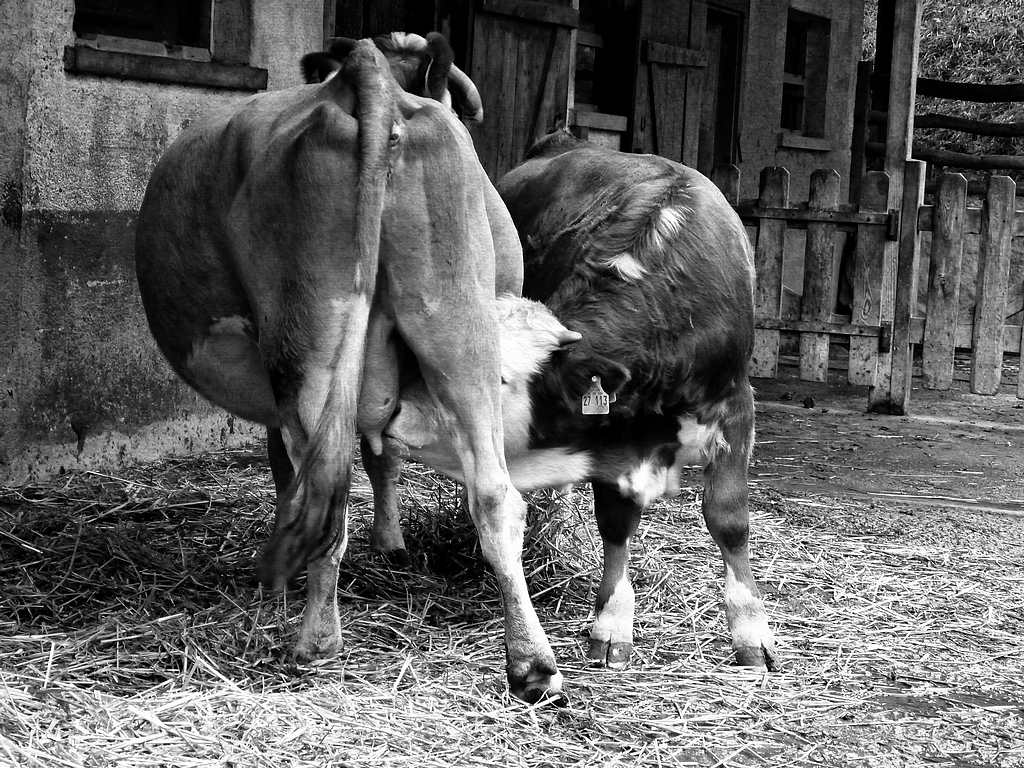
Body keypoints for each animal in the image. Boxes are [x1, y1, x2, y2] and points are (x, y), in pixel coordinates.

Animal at [385, 132, 774, 671]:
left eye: (496, 378)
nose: (397, 411)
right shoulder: (611, 433)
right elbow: (615, 523)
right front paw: (612, 623)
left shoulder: (736, 405)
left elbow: (729, 517)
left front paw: (751, 630)